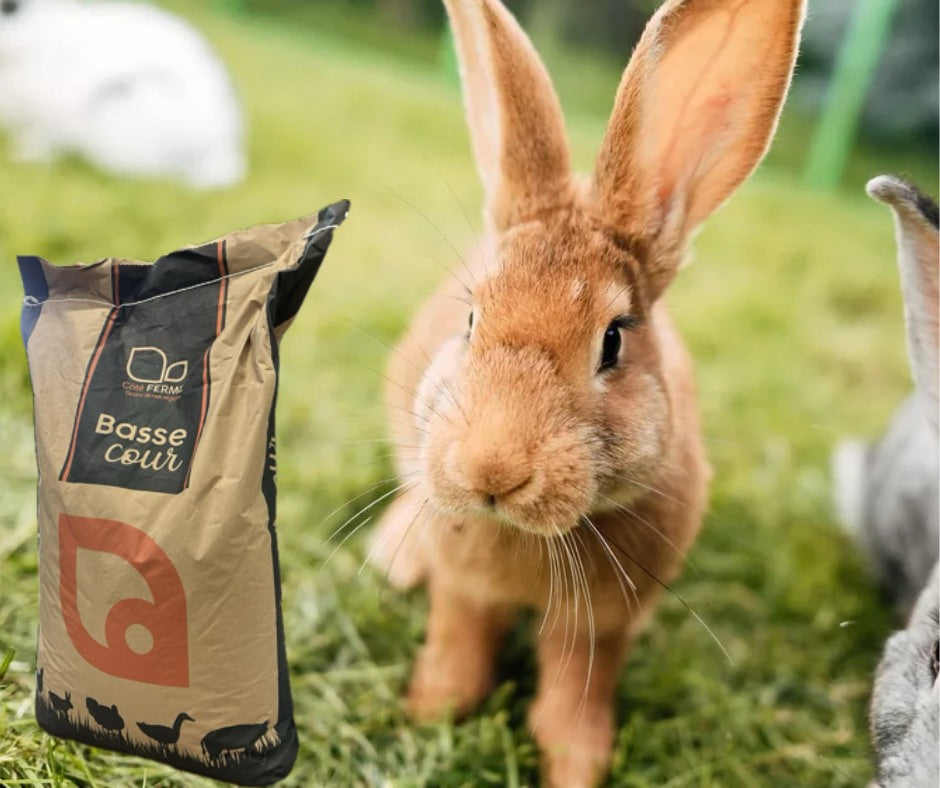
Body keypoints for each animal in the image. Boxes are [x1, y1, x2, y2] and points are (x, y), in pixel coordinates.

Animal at [368, 0, 806, 784]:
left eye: (613, 342)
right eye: (470, 318)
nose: (492, 471)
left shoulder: (601, 624)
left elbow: (571, 708)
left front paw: (577, 766)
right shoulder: (463, 590)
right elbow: (457, 662)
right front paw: (427, 715)